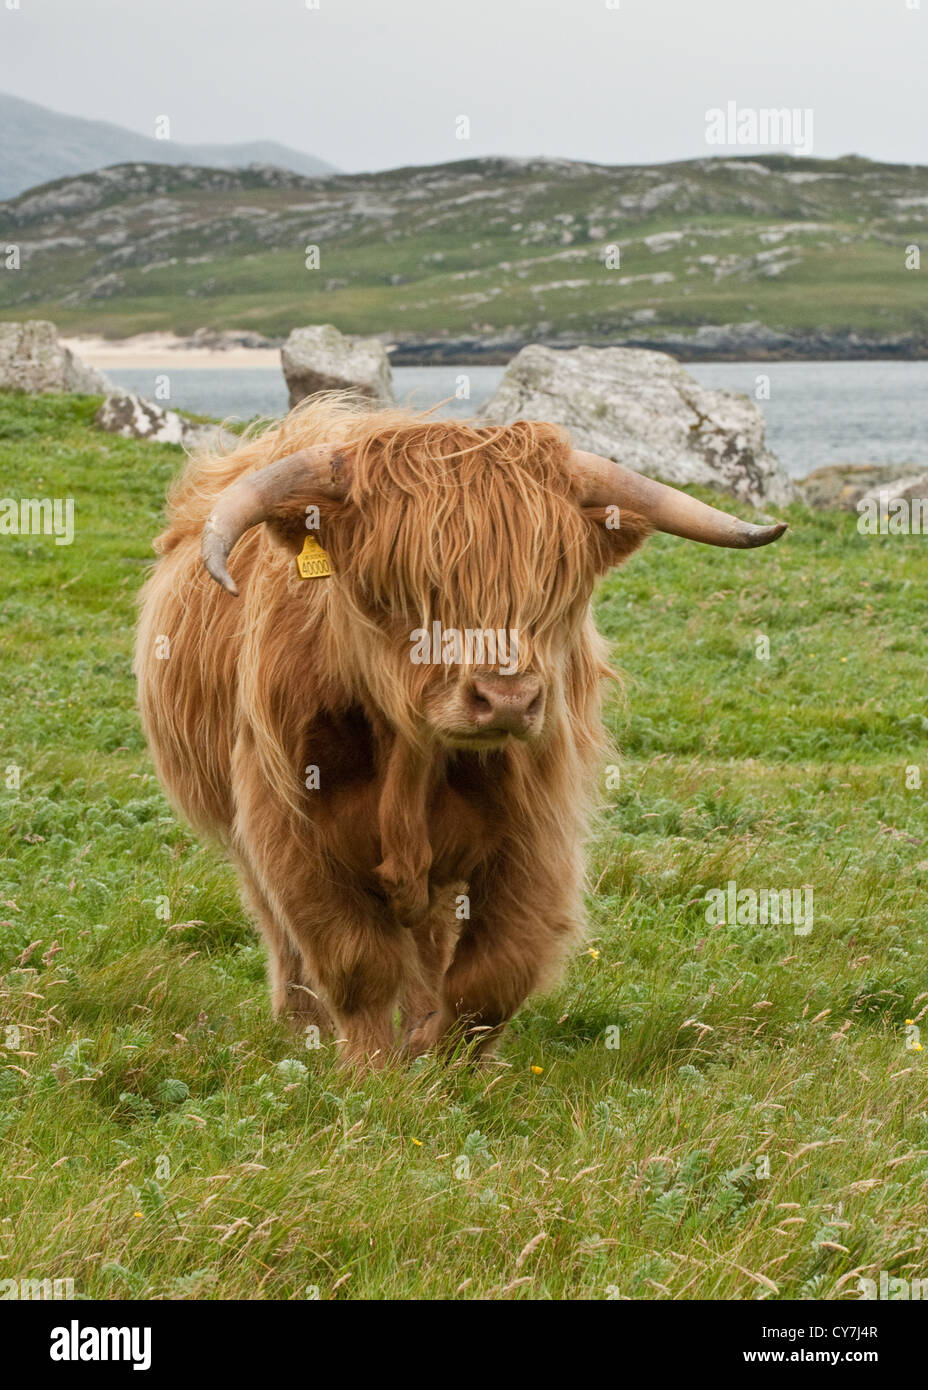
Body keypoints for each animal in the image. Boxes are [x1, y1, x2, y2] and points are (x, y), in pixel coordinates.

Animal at [131, 397, 783, 1067]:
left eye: (550, 589)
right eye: (399, 587)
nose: (507, 699)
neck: (411, 759)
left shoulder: (538, 832)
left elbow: (493, 972)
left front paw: (446, 1061)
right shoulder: (287, 826)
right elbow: (354, 960)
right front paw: (369, 1069)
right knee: (286, 935)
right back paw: (302, 1029)